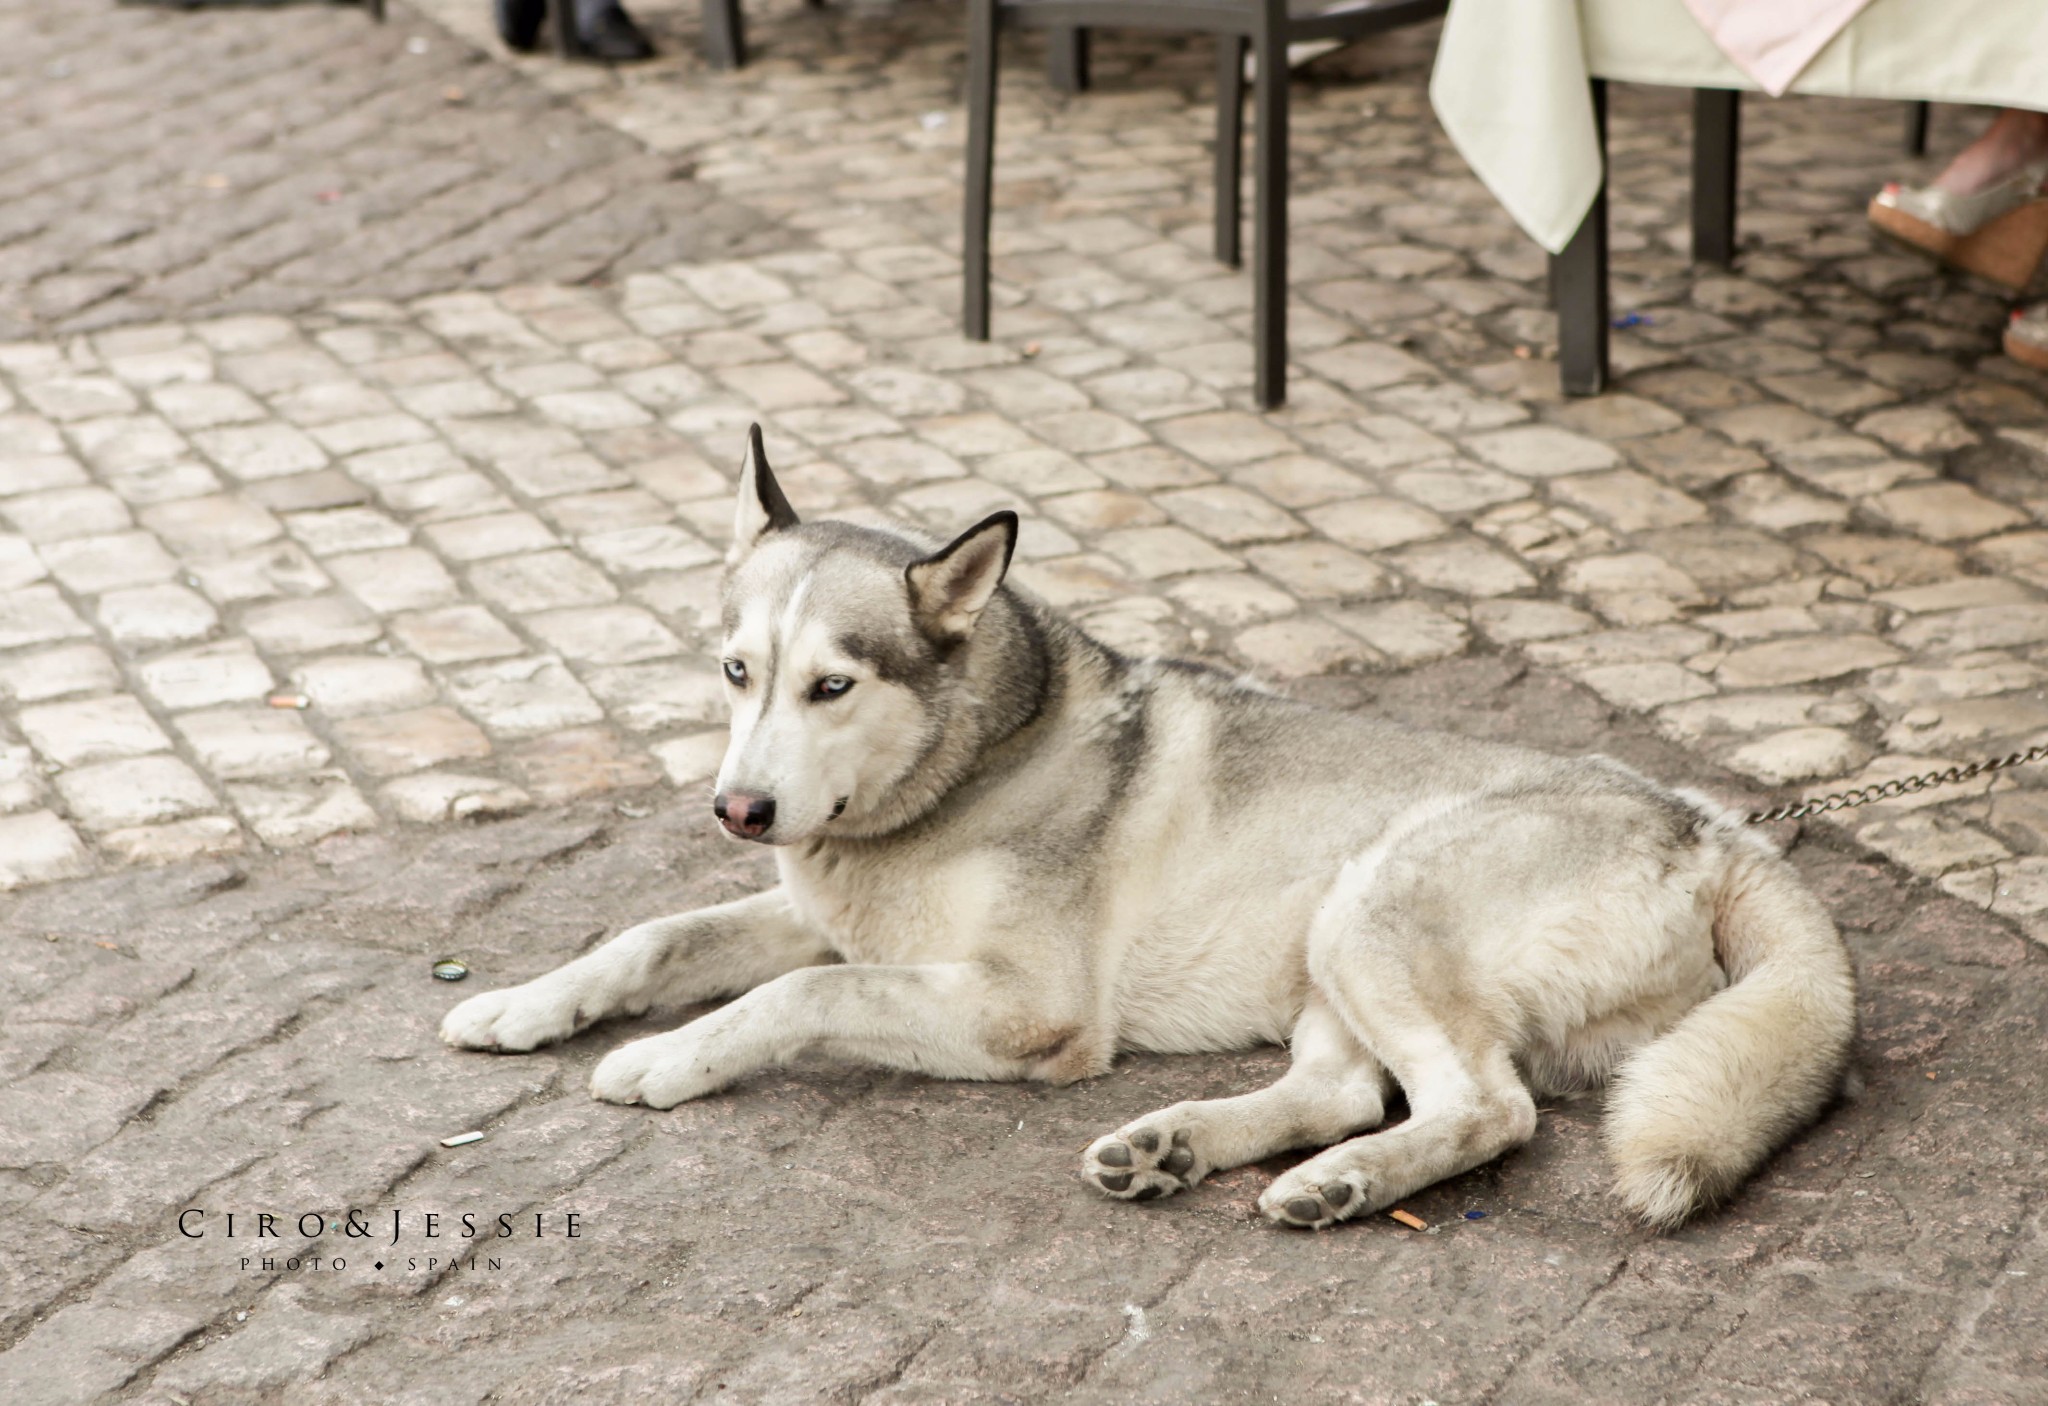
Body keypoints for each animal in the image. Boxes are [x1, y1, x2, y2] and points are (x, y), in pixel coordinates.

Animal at [444, 425, 1859, 1227]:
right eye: (736, 672)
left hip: (1371, 905)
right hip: (1330, 948)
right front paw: (523, 1004)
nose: (739, 808)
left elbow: (789, 997)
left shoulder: (1021, 1007)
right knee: (1343, 1088)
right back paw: (1184, 1147)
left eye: (831, 686)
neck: (967, 772)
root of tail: (1710, 821)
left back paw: (1337, 1185)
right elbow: (651, 935)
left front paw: (668, 1057)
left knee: (1483, 1107)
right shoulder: (813, 911)